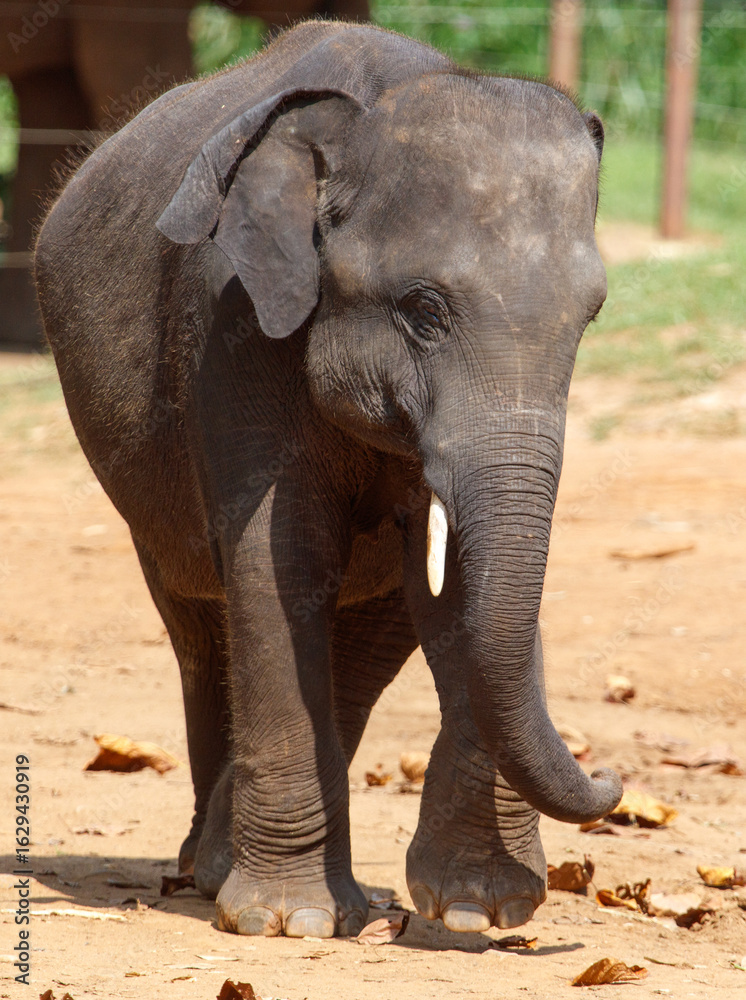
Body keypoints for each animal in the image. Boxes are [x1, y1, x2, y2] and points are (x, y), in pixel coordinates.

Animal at [35, 19, 622, 939]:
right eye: (423, 311)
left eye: (589, 317)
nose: (612, 778)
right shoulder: (233, 319)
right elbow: (282, 562)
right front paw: (288, 921)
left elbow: (447, 582)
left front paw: (476, 912)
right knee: (198, 626)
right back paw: (209, 871)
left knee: (373, 631)